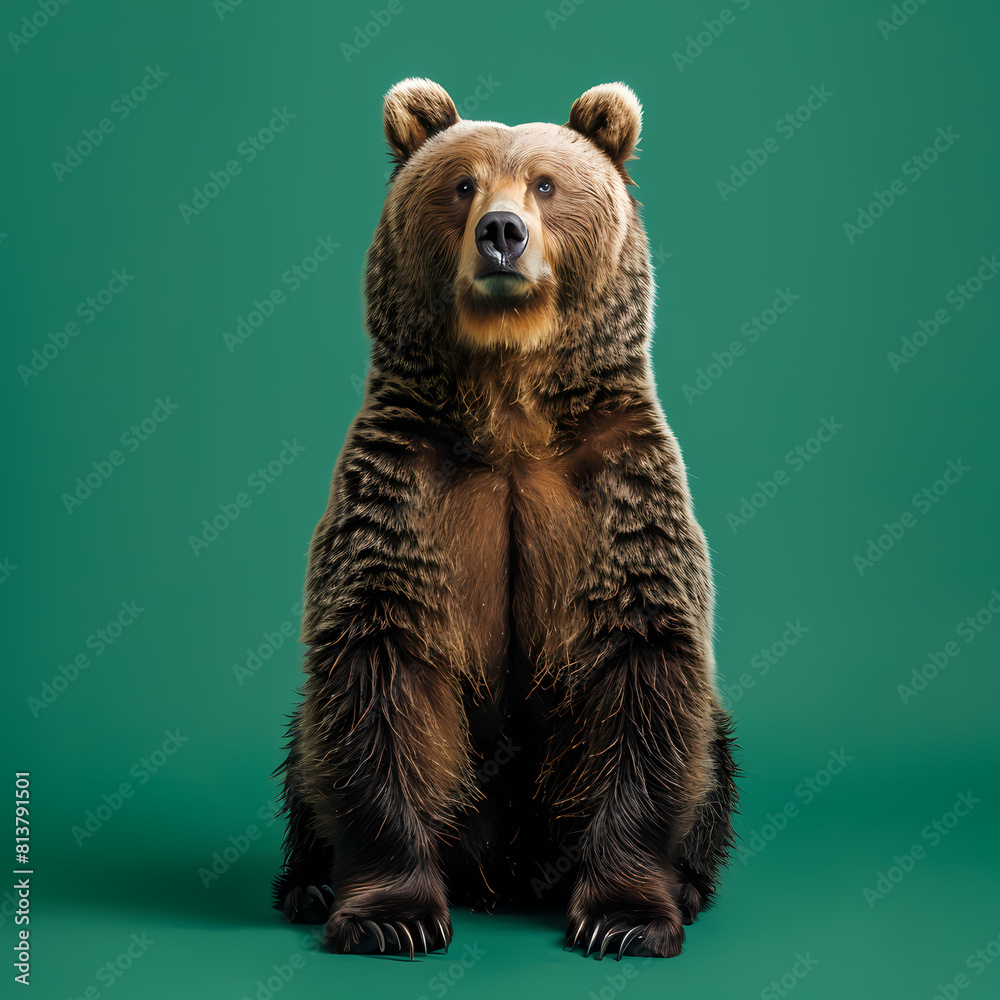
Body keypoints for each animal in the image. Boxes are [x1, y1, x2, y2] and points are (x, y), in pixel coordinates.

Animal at [272, 78, 738, 961]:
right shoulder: (410, 484)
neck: (510, 398)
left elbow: (642, 667)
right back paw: (307, 884)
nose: (501, 234)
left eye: (547, 185)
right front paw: (392, 915)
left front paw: (623, 917)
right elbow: (380, 667)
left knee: (714, 752)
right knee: (305, 752)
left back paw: (692, 886)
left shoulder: (613, 485)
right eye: (462, 184)